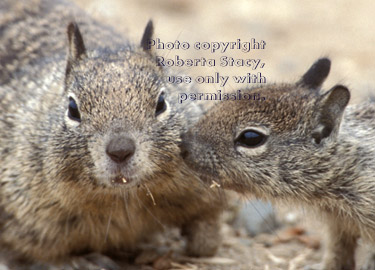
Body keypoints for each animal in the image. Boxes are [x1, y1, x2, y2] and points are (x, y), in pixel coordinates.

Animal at [0, 0, 223, 268]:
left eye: (161, 102)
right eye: (72, 108)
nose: (120, 151)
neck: (125, 199)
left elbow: (208, 230)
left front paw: (187, 245)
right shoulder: (26, 213)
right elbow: (45, 253)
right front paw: (82, 261)